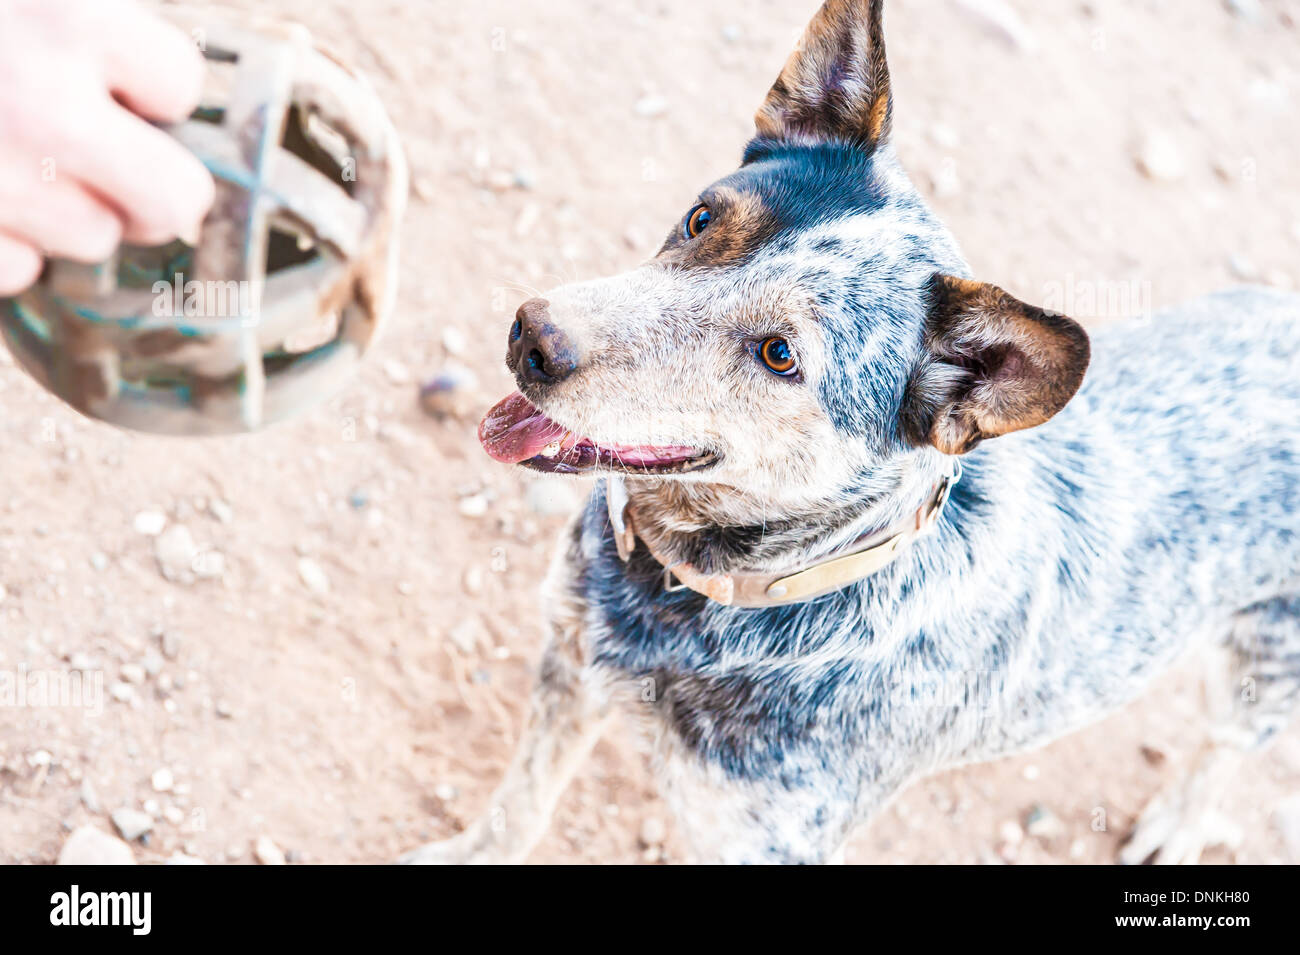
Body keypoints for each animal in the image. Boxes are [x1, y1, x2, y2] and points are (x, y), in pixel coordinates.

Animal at [400, 0, 1294, 867]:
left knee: (1229, 744)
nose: (533, 337)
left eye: (780, 354)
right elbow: (518, 808)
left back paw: (1181, 824)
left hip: (1264, 666)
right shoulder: (570, 662)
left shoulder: (760, 840)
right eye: (700, 218)